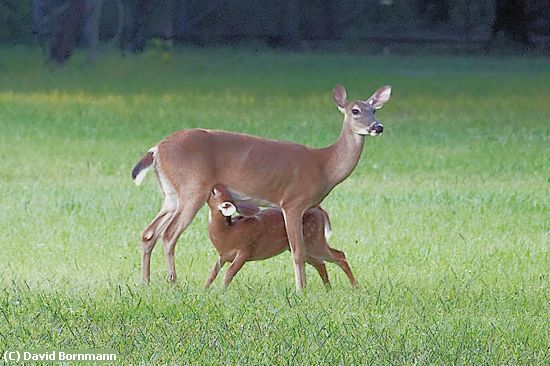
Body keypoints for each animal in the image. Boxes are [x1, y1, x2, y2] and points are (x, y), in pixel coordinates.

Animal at [133, 84, 392, 290]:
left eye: (375, 110)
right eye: (355, 111)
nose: (377, 127)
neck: (323, 166)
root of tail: (156, 149)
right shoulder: (293, 201)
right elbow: (297, 251)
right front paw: (301, 290)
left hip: (171, 193)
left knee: (149, 232)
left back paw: (145, 282)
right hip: (192, 187)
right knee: (169, 235)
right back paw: (173, 282)